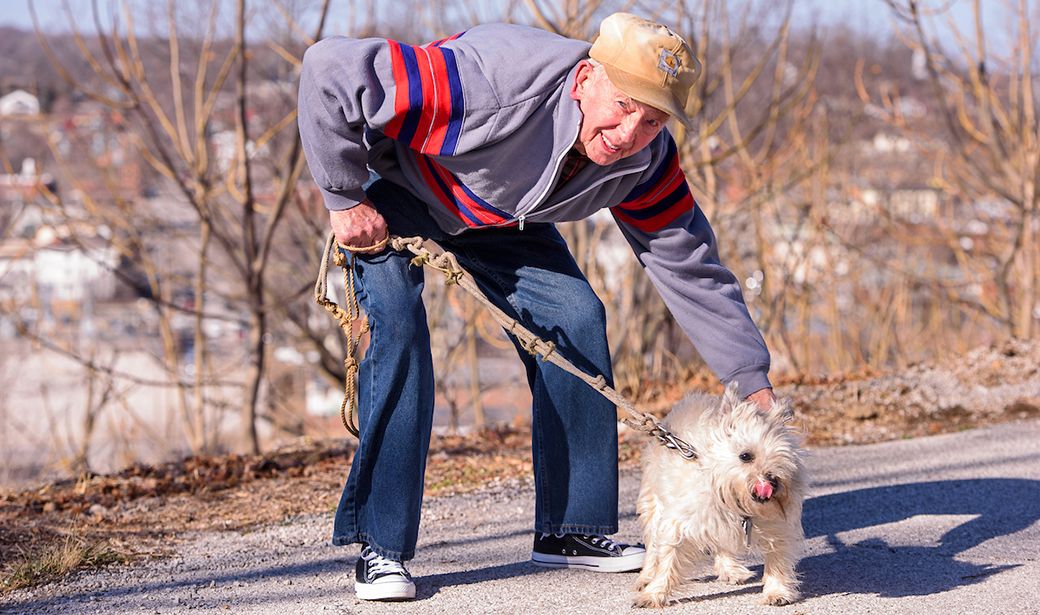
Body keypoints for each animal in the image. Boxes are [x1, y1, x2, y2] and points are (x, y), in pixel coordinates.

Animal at [632, 387, 802, 607]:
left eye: (782, 459)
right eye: (745, 456)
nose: (773, 482)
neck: (733, 501)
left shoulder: (776, 527)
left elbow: (777, 558)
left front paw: (777, 591)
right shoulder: (676, 523)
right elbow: (667, 560)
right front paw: (654, 593)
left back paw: (731, 570)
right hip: (652, 505)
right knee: (653, 546)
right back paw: (646, 577)